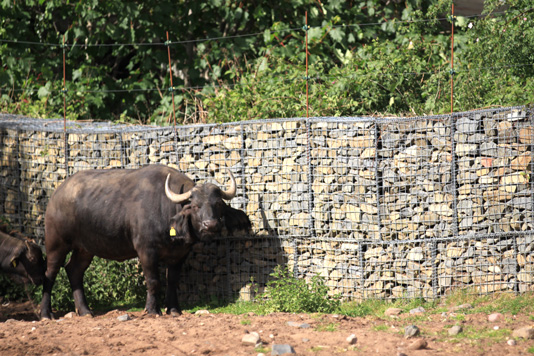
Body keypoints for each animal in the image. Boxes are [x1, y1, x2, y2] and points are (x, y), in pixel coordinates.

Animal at [39, 165, 253, 320]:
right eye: (195, 205)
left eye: (217, 204)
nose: (211, 225)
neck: (167, 211)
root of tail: (57, 195)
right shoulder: (146, 251)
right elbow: (154, 281)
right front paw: (152, 310)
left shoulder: (179, 255)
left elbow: (172, 281)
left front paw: (173, 309)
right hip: (56, 243)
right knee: (50, 273)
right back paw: (46, 313)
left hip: (85, 248)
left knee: (74, 270)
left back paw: (85, 311)